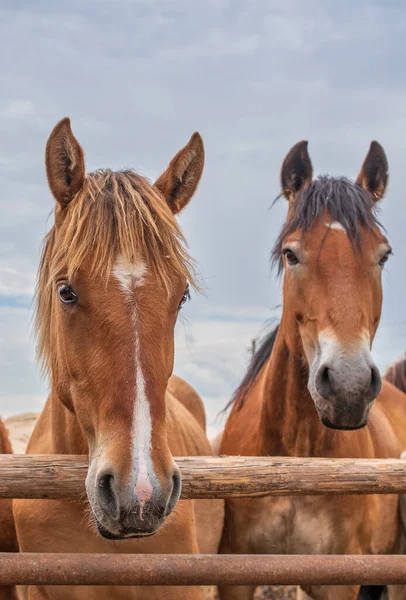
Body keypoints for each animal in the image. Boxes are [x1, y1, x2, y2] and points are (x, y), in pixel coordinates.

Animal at [219, 139, 406, 600]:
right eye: (291, 254)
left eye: (383, 255)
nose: (348, 386)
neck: (293, 459)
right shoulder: (233, 575)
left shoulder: (337, 580)